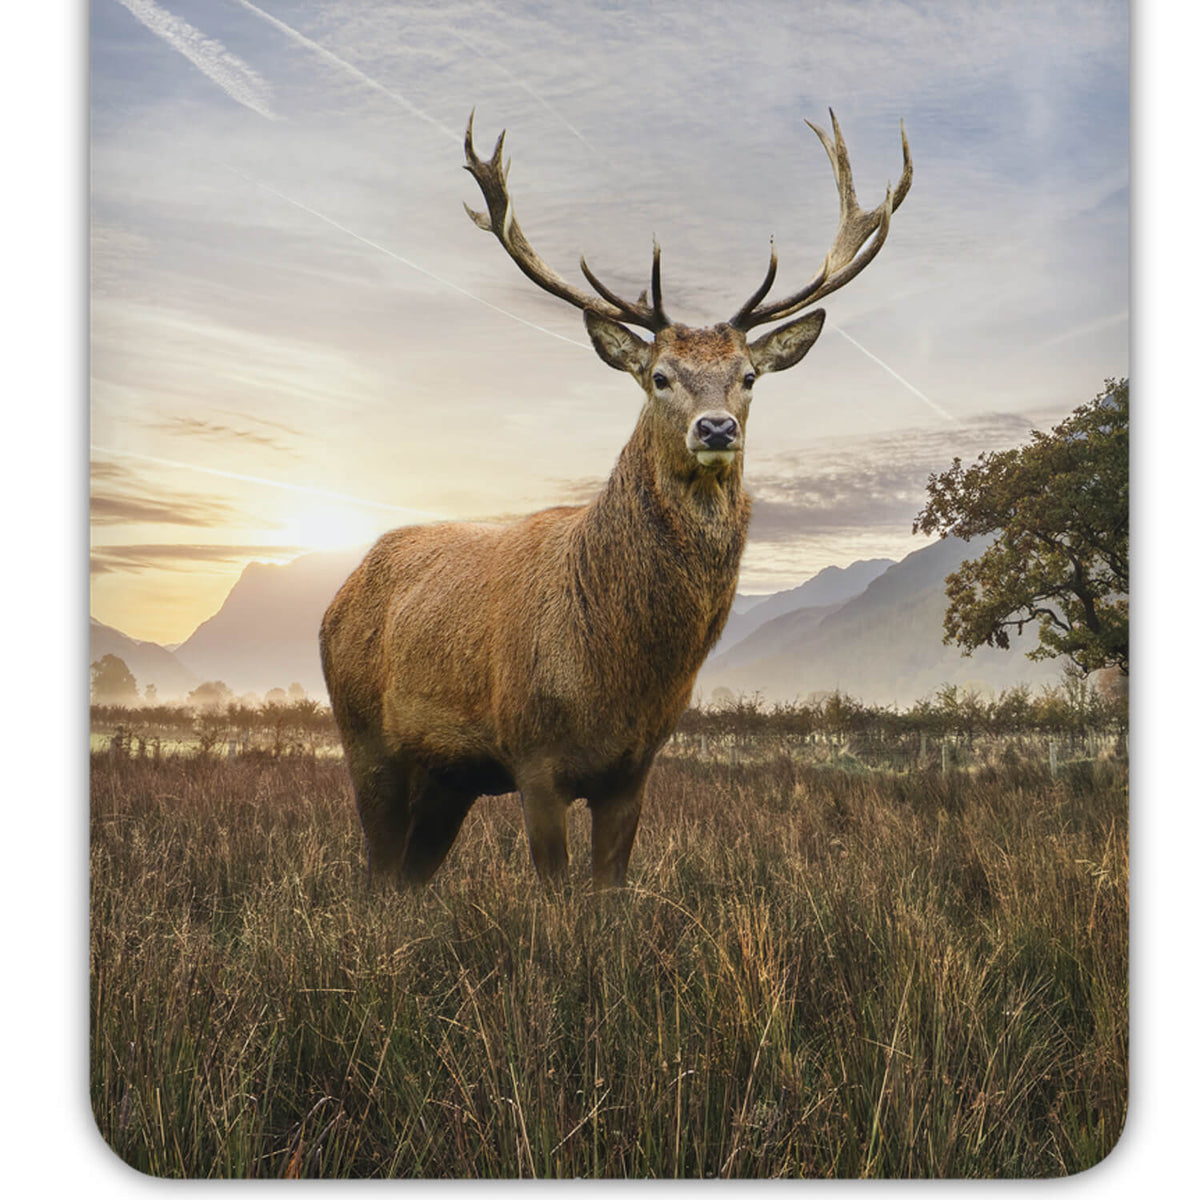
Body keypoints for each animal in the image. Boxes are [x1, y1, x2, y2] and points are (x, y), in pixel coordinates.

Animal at [320, 109, 912, 889]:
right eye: (659, 376)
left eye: (749, 376)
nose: (715, 428)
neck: (615, 672)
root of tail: (339, 595)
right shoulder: (533, 757)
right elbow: (555, 892)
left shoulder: (634, 769)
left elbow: (610, 892)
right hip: (365, 736)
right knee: (378, 873)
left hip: (448, 779)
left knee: (410, 878)